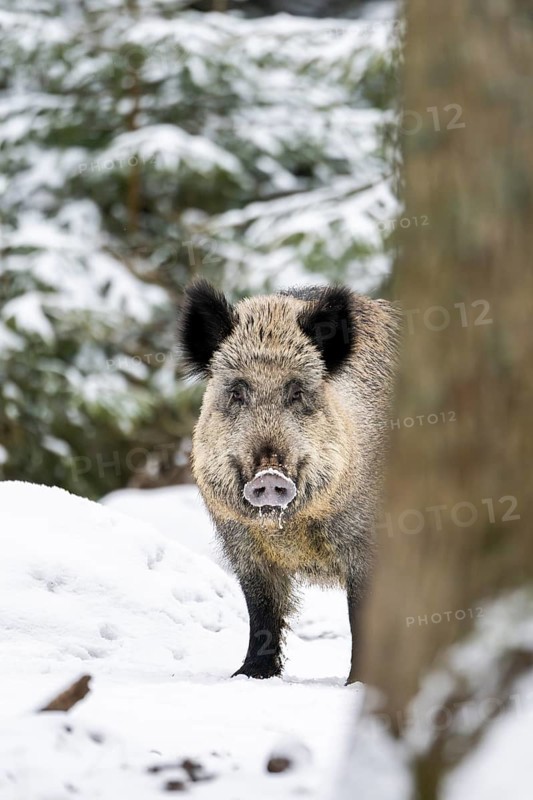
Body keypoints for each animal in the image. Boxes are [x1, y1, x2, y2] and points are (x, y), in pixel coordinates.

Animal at [178, 280, 399, 683]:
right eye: (237, 392)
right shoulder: (243, 547)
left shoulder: (368, 542)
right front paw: (249, 676)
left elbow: (360, 614)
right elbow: (261, 609)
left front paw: (357, 683)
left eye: (296, 392)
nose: (269, 476)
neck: (291, 530)